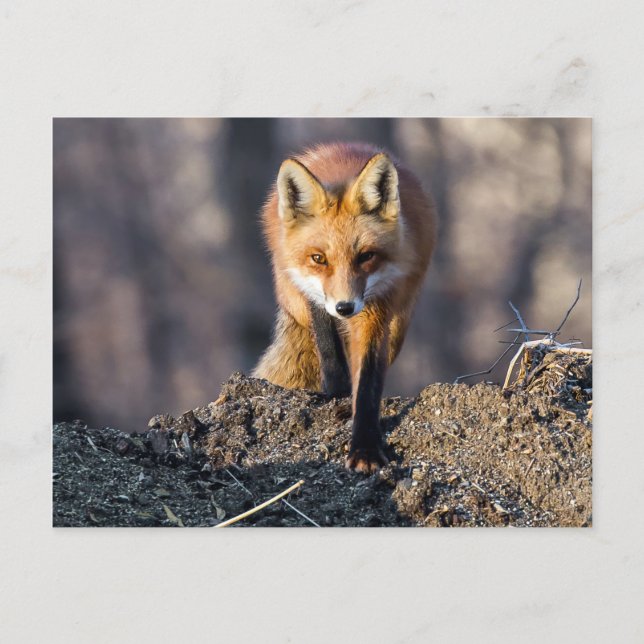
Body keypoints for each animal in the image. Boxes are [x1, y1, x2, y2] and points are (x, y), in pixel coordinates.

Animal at [253, 142, 437, 473]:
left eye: (366, 256)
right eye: (318, 259)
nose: (345, 307)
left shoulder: (378, 308)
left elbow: (368, 381)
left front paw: (365, 447)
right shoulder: (312, 295)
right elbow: (328, 347)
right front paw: (337, 392)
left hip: (399, 324)